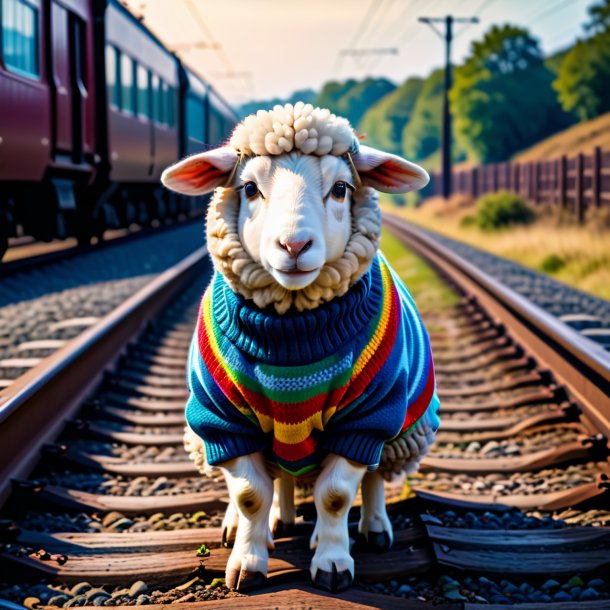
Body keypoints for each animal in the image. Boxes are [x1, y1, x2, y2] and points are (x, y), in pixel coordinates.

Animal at [160, 102, 436, 592]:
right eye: (250, 188)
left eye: (341, 188)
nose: (293, 244)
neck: (291, 339)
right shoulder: (224, 420)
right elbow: (250, 494)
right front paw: (247, 564)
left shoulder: (365, 418)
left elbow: (336, 495)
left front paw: (332, 564)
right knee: (274, 478)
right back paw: (270, 522)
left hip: (401, 427)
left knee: (374, 478)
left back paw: (373, 528)